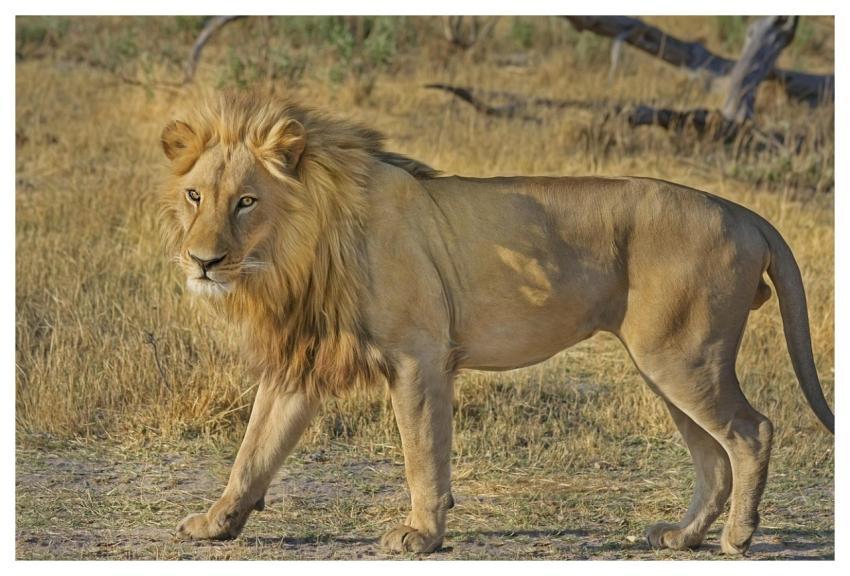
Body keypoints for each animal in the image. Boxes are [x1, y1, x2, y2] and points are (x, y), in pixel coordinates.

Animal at [159, 92, 833, 556]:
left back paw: (739, 538)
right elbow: (254, 451)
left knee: (751, 431)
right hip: (666, 364)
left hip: (682, 357)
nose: (202, 260)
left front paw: (421, 535)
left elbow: (423, 453)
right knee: (713, 457)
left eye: (247, 201)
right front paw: (215, 524)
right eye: (196, 196)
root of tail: (743, 211)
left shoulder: (419, 356)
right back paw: (684, 536)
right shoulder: (301, 363)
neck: (297, 251)